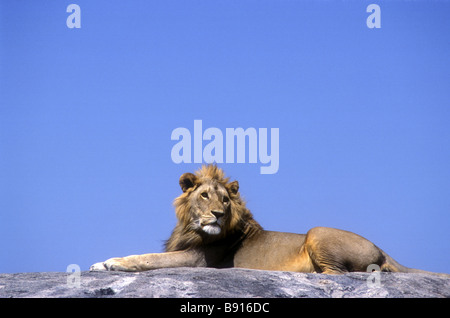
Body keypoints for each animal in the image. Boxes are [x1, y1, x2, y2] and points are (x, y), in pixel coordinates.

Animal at [90, 164, 446, 276]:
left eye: (225, 200)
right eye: (204, 195)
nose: (218, 214)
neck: (190, 228)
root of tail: (384, 250)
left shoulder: (198, 260)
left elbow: (148, 258)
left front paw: (111, 263)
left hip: (316, 232)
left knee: (339, 274)